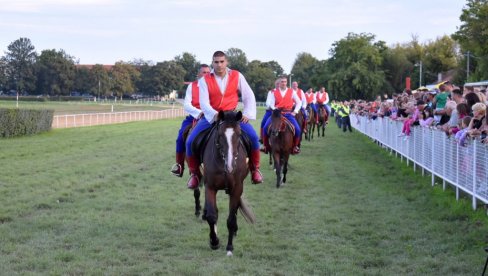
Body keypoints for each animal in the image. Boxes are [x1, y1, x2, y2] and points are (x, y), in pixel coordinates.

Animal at [201, 110, 258, 256]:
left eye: (238, 134)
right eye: (220, 135)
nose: (231, 165)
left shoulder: (237, 188)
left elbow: (231, 219)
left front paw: (230, 247)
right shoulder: (209, 186)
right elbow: (211, 215)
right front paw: (214, 241)